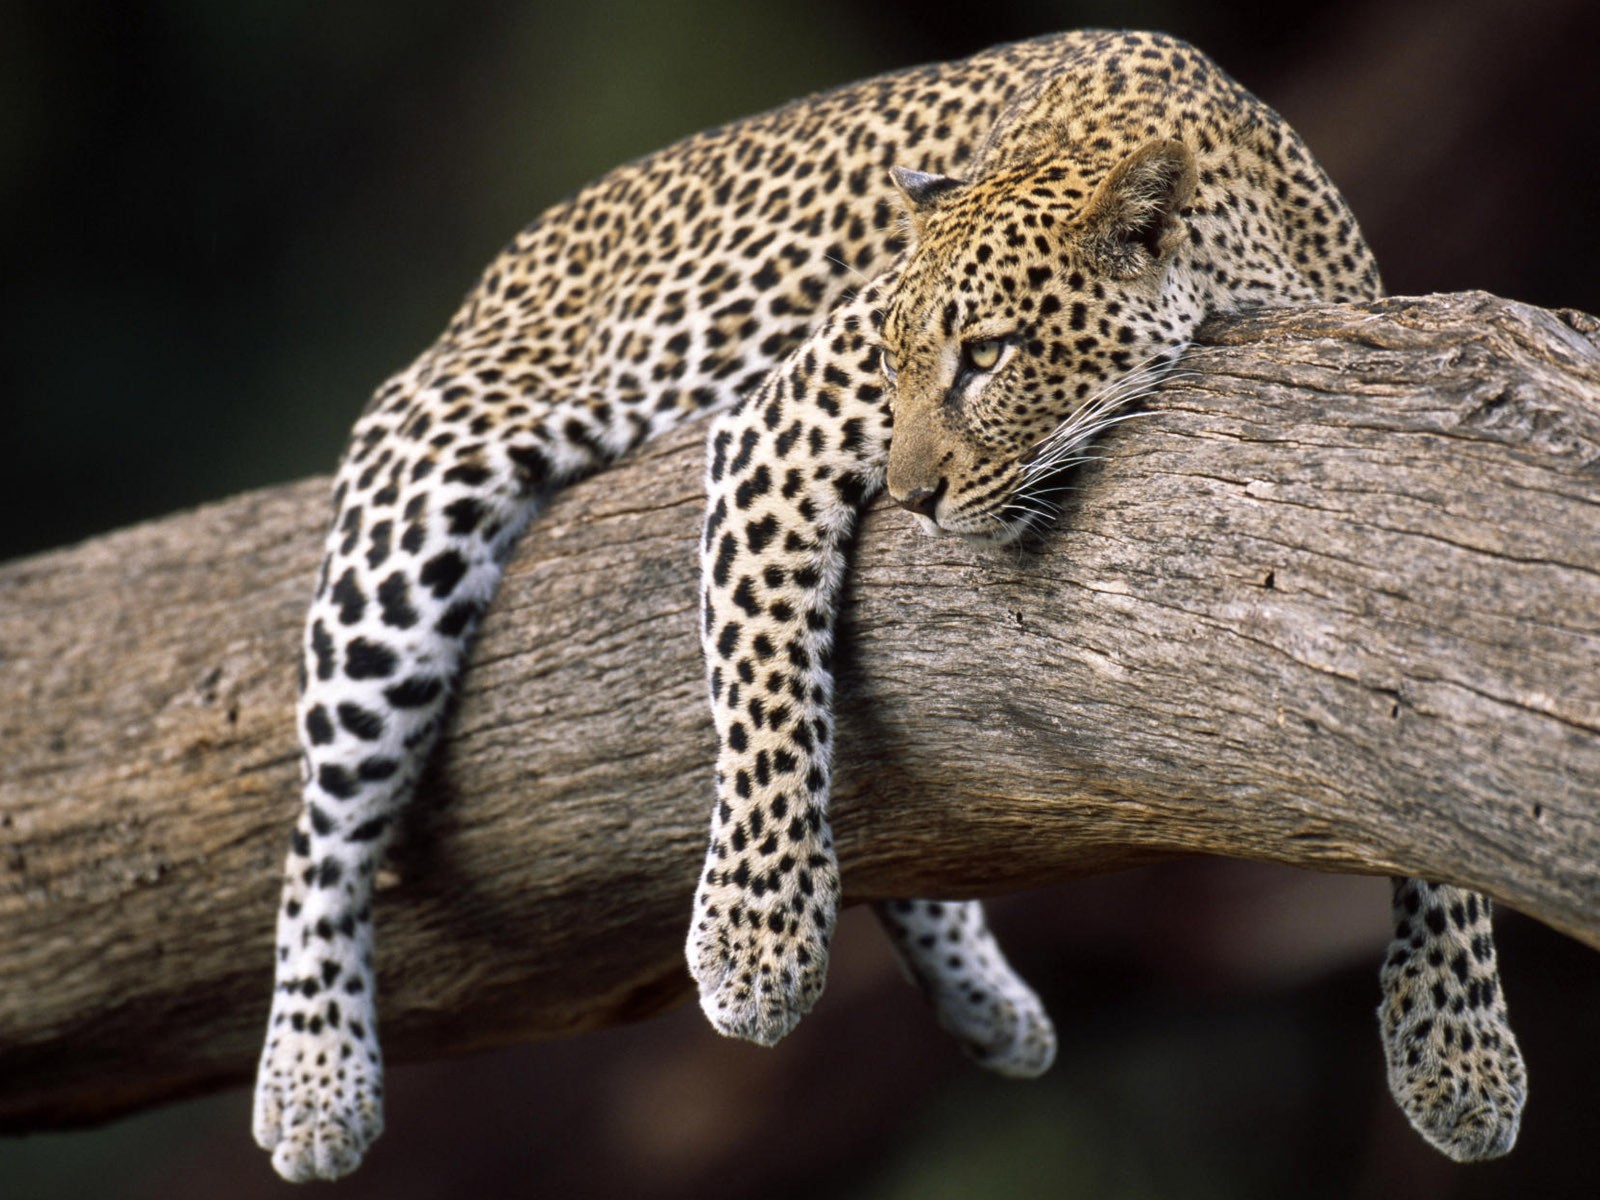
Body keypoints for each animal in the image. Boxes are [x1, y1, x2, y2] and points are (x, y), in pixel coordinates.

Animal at [254, 29, 1524, 1182]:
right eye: (892, 359)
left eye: (988, 355)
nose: (911, 498)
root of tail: (504, 264)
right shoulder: (775, 427)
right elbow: (767, 682)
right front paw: (756, 941)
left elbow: (1435, 772)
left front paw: (1457, 1049)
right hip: (415, 512)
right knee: (326, 824)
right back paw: (313, 1080)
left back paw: (985, 1002)